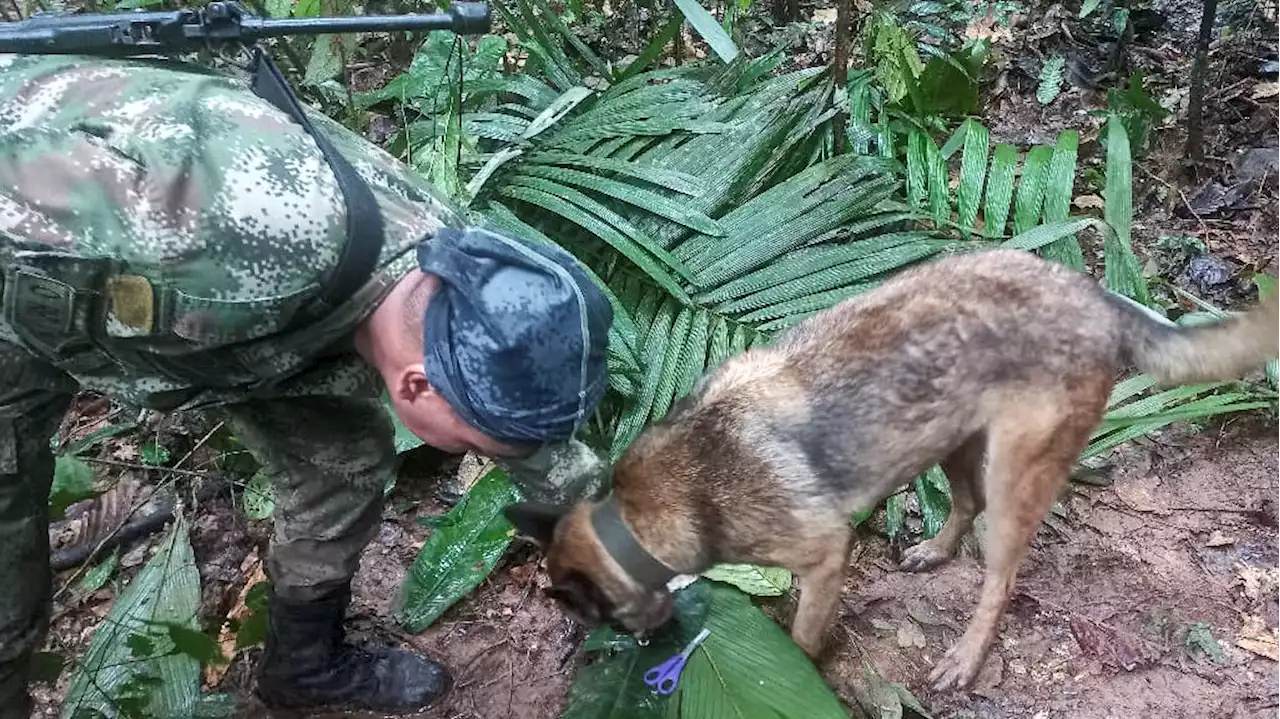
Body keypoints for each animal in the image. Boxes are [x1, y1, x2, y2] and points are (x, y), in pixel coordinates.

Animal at [499, 245, 1280, 690]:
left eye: (587, 614)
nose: (634, 647)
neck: (642, 513)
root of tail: (1100, 297)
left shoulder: (823, 554)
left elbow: (802, 635)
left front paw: (802, 667)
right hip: (949, 439)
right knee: (963, 504)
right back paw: (934, 551)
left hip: (1014, 473)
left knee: (1000, 575)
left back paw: (966, 656)